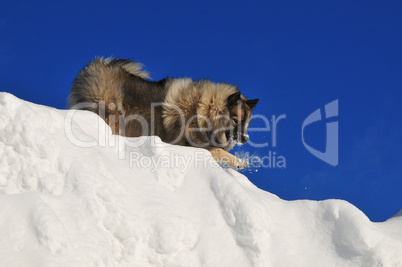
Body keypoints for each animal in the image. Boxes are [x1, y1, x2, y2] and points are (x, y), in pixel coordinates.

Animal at [68, 58, 260, 170]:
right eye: (235, 120)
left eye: (247, 122)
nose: (245, 138)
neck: (202, 111)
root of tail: (94, 66)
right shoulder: (185, 144)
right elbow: (217, 151)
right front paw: (240, 162)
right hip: (113, 116)